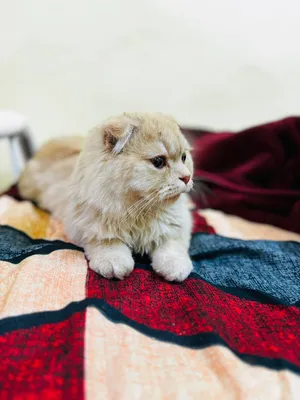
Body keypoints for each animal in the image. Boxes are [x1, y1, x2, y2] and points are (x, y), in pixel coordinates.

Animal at [19, 111, 196, 282]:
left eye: (184, 157)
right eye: (159, 161)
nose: (187, 177)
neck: (139, 211)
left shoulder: (176, 228)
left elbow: (172, 247)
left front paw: (174, 267)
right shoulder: (91, 228)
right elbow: (110, 245)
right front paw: (114, 263)